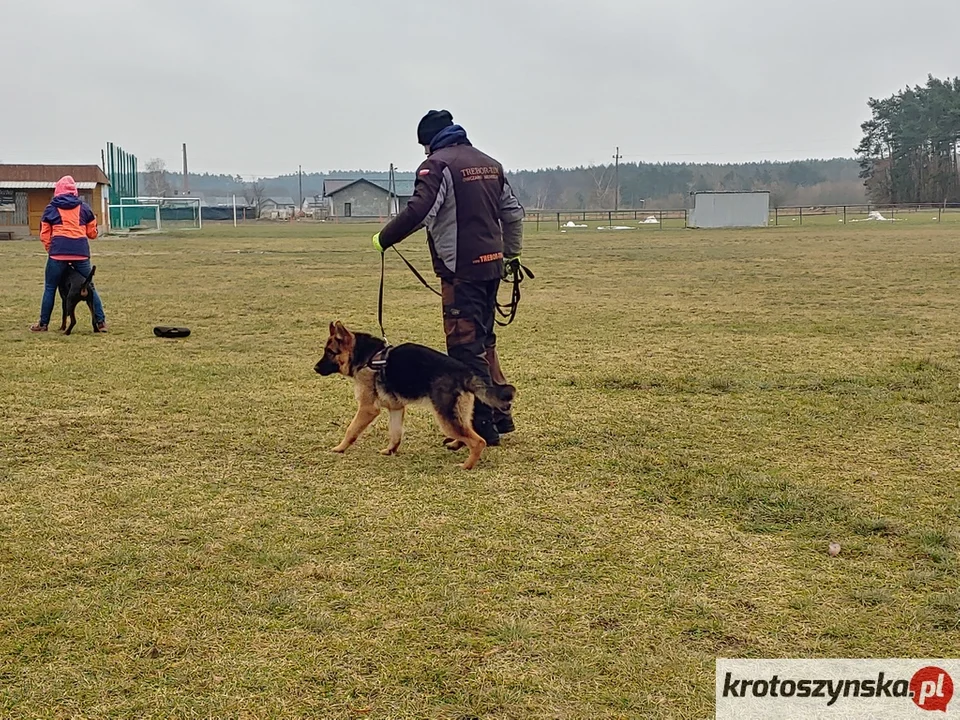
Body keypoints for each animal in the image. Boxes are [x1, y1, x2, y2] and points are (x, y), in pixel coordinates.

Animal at [316, 322, 516, 470]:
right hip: (458, 412)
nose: (315, 368)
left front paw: (339, 448)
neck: (367, 357)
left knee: (478, 442)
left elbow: (351, 429)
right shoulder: (396, 408)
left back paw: (466, 465)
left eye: (330, 352)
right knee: (468, 430)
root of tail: (465, 372)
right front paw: (390, 450)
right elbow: (395, 433)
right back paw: (455, 445)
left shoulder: (367, 409)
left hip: (445, 417)